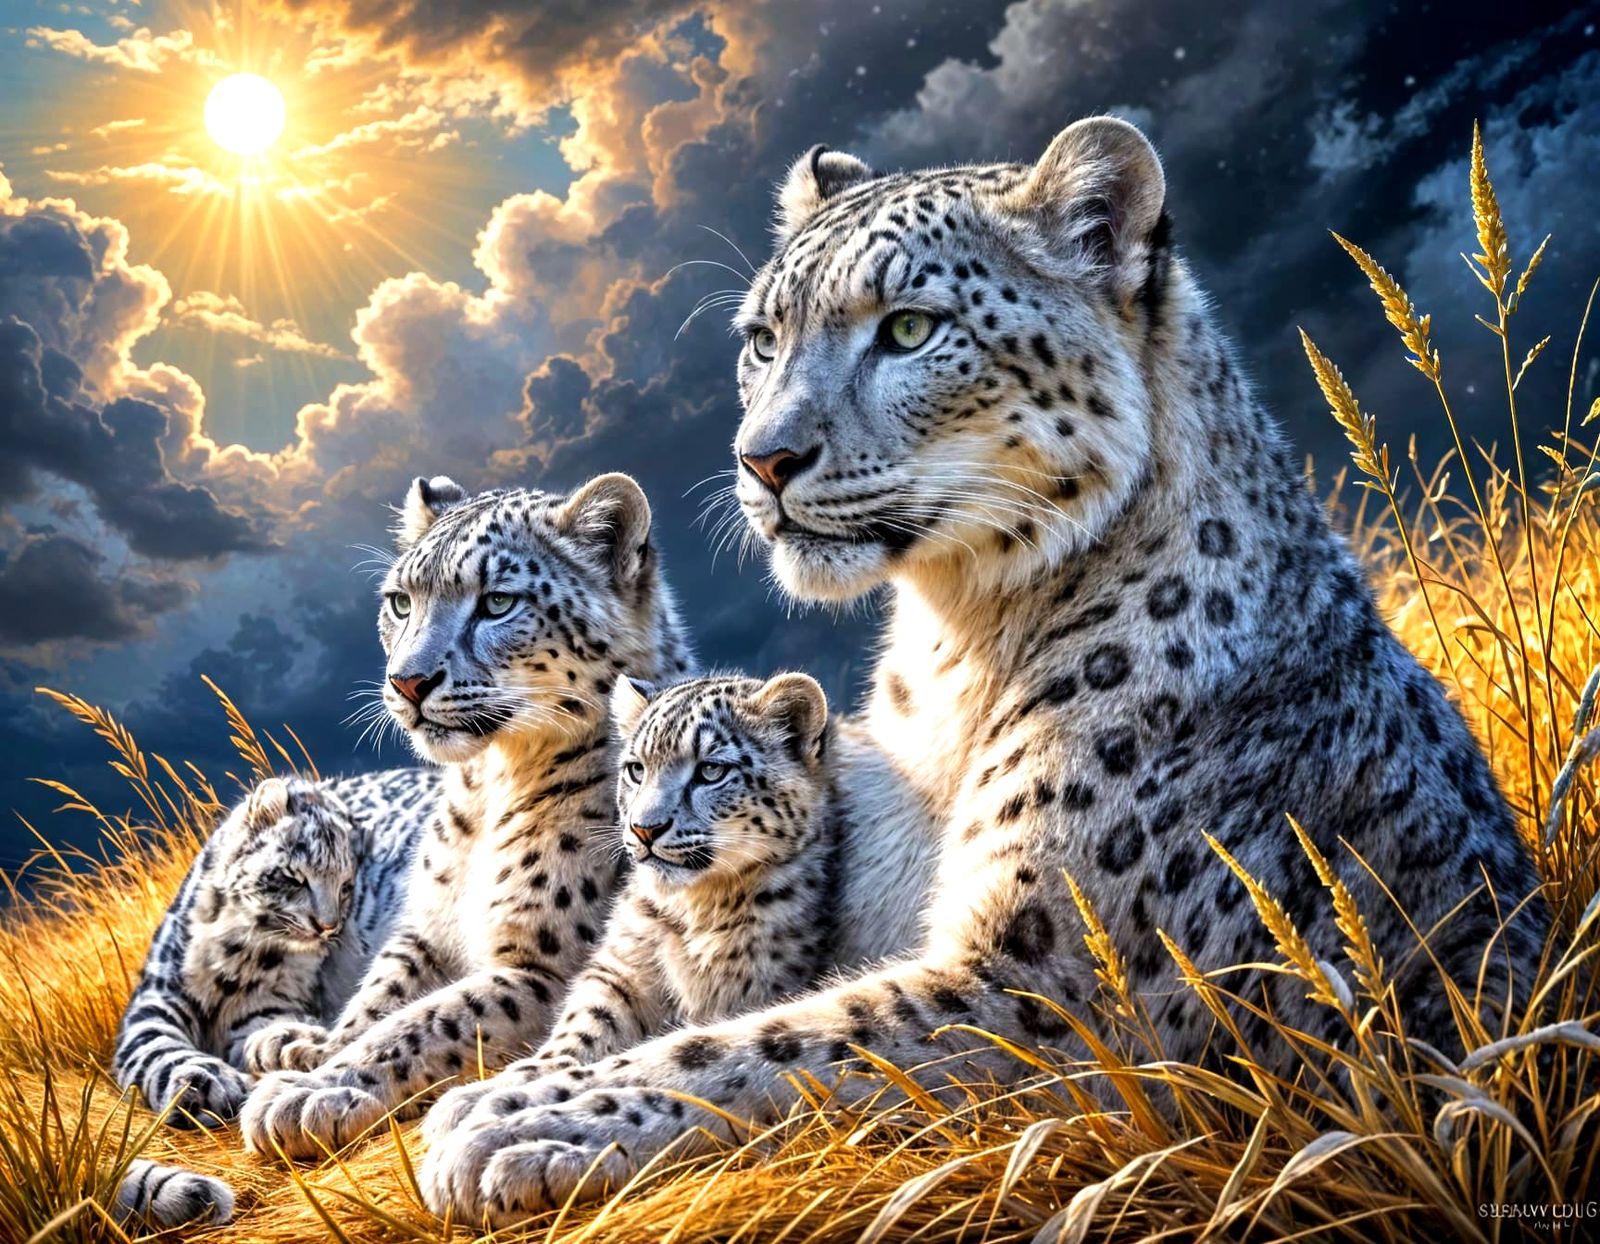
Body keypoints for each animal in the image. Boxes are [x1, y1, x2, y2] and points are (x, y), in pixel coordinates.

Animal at [238, 471, 694, 1161]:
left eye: (499, 602)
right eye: (401, 602)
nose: (407, 681)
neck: (490, 790)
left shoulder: (541, 964)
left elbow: (429, 1019)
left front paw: (314, 1090)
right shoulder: (425, 928)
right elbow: (380, 996)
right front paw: (314, 1047)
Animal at [417, 116, 1548, 1225]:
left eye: (910, 329)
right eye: (762, 338)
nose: (760, 458)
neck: (953, 643)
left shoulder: (1046, 978)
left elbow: (780, 1046)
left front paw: (510, 1120)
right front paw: (519, 1085)